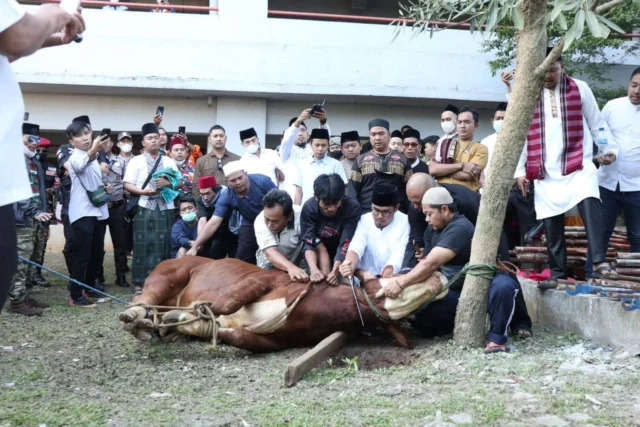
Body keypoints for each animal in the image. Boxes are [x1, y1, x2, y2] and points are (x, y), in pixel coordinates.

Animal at [121, 258, 450, 352]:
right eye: (393, 278)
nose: (439, 275)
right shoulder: (264, 281)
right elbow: (226, 304)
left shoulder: (279, 341)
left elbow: (233, 334)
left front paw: (186, 323)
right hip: (170, 273)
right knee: (145, 298)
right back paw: (135, 317)